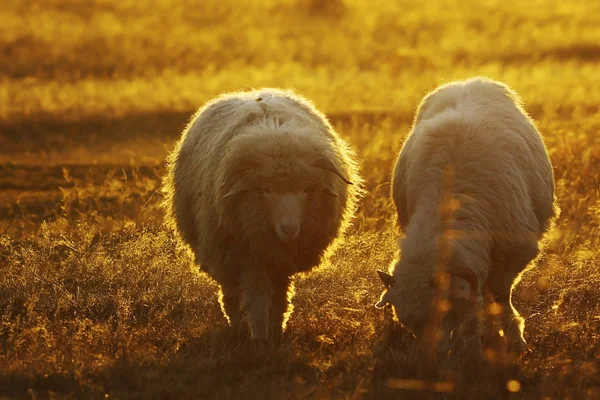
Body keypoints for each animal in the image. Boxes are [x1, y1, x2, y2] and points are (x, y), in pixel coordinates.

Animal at [162, 87, 364, 340]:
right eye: (266, 190)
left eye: (306, 189)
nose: (289, 228)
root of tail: (253, 92)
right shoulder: (249, 255)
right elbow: (256, 299)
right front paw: (259, 336)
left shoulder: (281, 259)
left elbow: (280, 299)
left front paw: (277, 332)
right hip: (224, 251)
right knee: (231, 294)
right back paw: (236, 327)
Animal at [378, 76, 560, 354]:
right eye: (410, 325)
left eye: (443, 312)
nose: (431, 356)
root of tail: (467, 81)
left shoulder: (513, 254)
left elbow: (499, 298)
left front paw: (512, 340)